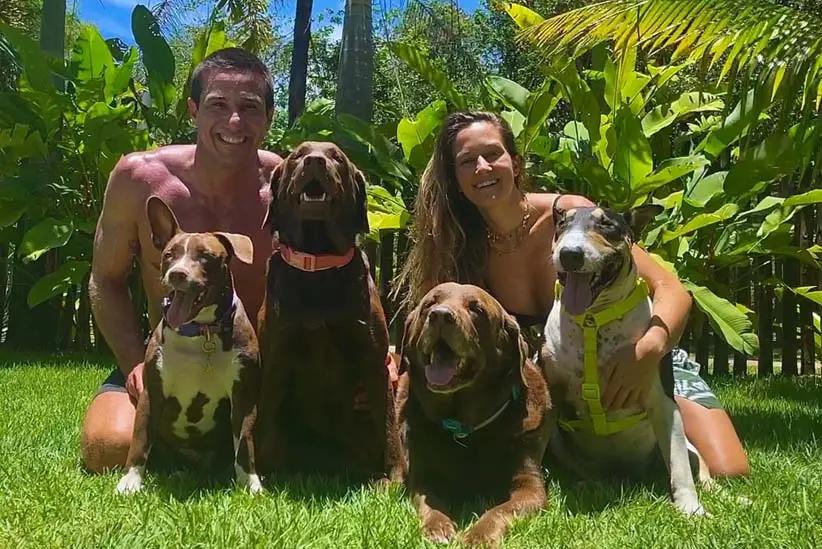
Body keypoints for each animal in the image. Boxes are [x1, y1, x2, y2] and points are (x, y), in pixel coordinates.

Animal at [116, 196, 262, 495]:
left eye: (205, 256)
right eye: (169, 255)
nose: (177, 274)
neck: (201, 332)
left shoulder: (243, 395)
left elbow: (245, 442)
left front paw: (251, 483)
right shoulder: (152, 393)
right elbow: (140, 438)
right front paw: (130, 480)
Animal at [255, 141, 403, 481]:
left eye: (337, 157)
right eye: (298, 154)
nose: (314, 161)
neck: (318, 262)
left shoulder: (374, 361)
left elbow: (389, 428)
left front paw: (397, 477)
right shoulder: (276, 359)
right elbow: (262, 419)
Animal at [398, 282, 554, 548]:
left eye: (476, 309)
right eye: (430, 303)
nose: (440, 315)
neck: (465, 428)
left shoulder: (530, 484)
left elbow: (500, 510)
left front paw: (478, 535)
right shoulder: (423, 477)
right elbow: (431, 503)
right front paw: (438, 527)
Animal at [540, 203, 709, 516]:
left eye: (607, 225)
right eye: (562, 225)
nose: (570, 254)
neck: (593, 320)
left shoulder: (662, 401)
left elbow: (679, 464)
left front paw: (691, 509)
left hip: (689, 449)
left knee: (697, 468)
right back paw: (589, 483)